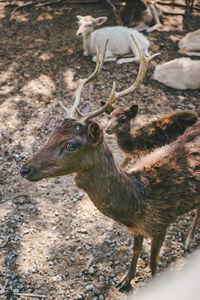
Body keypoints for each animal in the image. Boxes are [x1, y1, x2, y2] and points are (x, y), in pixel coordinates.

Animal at [20, 38, 200, 292]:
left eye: (71, 145)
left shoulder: (161, 225)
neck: (138, 200)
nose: (25, 168)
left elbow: (153, 264)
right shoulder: (136, 229)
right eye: (52, 133)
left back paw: (188, 241)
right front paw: (125, 280)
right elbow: (135, 250)